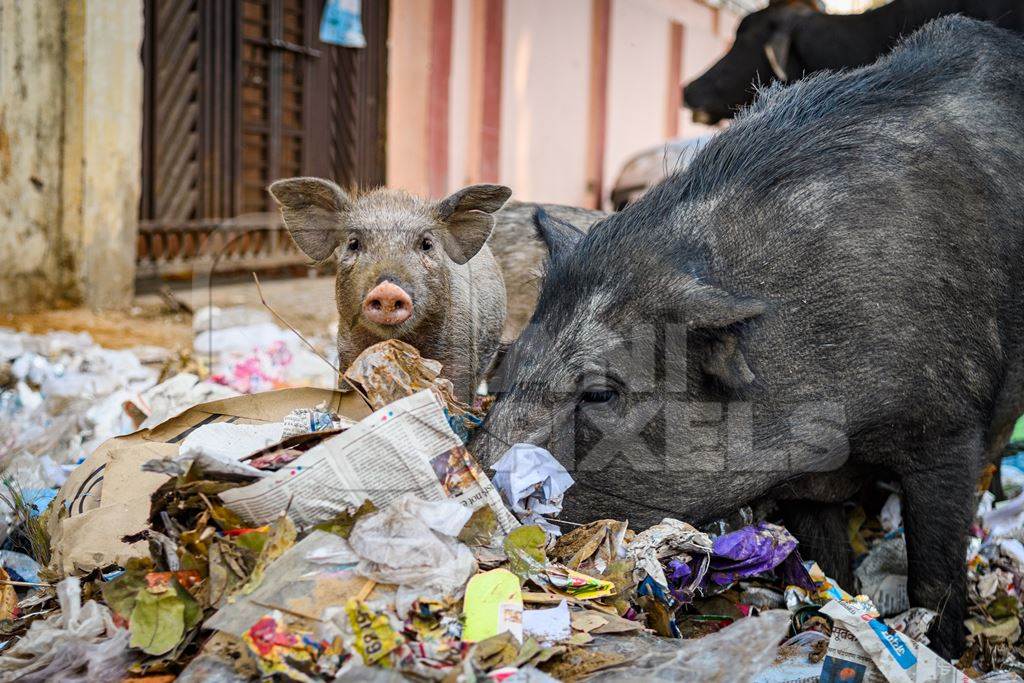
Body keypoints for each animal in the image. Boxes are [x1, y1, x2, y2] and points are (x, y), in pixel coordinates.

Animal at [475, 15, 1024, 655]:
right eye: (511, 360)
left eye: (601, 392)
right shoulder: (806, 479)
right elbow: (827, 565)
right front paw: (827, 622)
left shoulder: (947, 426)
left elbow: (936, 569)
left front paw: (937, 648)